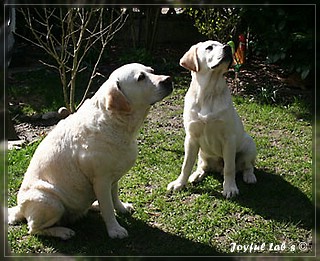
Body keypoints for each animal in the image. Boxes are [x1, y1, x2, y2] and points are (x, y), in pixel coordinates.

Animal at [8, 63, 172, 238]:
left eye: (152, 71)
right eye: (141, 78)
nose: (168, 80)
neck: (115, 122)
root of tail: (20, 209)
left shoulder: (113, 177)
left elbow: (114, 198)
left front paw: (121, 208)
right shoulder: (101, 179)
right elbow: (108, 209)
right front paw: (114, 229)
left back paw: (93, 205)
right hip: (50, 201)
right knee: (34, 229)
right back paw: (62, 231)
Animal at [168, 39, 255, 196]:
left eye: (223, 44)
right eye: (209, 47)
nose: (228, 48)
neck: (208, 93)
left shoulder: (229, 138)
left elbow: (230, 168)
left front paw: (230, 188)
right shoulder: (191, 138)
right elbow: (186, 164)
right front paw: (179, 183)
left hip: (249, 146)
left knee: (247, 165)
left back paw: (249, 176)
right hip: (202, 153)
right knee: (203, 166)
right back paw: (196, 175)